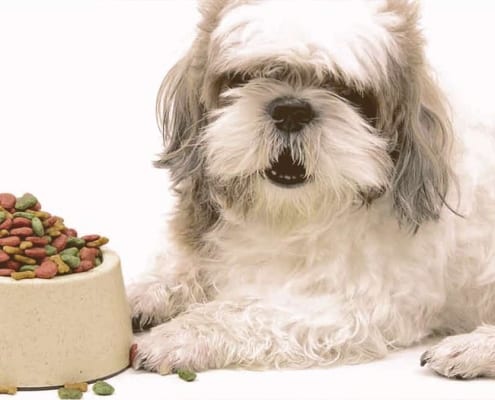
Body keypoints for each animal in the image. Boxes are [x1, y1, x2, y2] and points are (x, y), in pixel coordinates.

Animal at [126, 0, 495, 380]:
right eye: (246, 77)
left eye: (346, 91)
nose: (291, 109)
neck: (287, 213)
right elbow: (181, 268)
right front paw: (140, 295)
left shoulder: (349, 308)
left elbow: (243, 310)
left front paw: (178, 336)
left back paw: (473, 348)